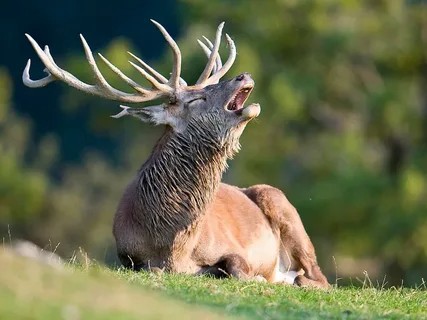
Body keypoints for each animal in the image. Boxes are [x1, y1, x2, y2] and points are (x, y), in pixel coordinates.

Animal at [22, 21, 332, 288]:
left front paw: (253, 276)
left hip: (281, 204)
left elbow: (235, 266)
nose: (243, 75)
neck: (172, 246)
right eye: (196, 98)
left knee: (320, 278)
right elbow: (159, 269)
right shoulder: (130, 257)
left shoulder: (233, 247)